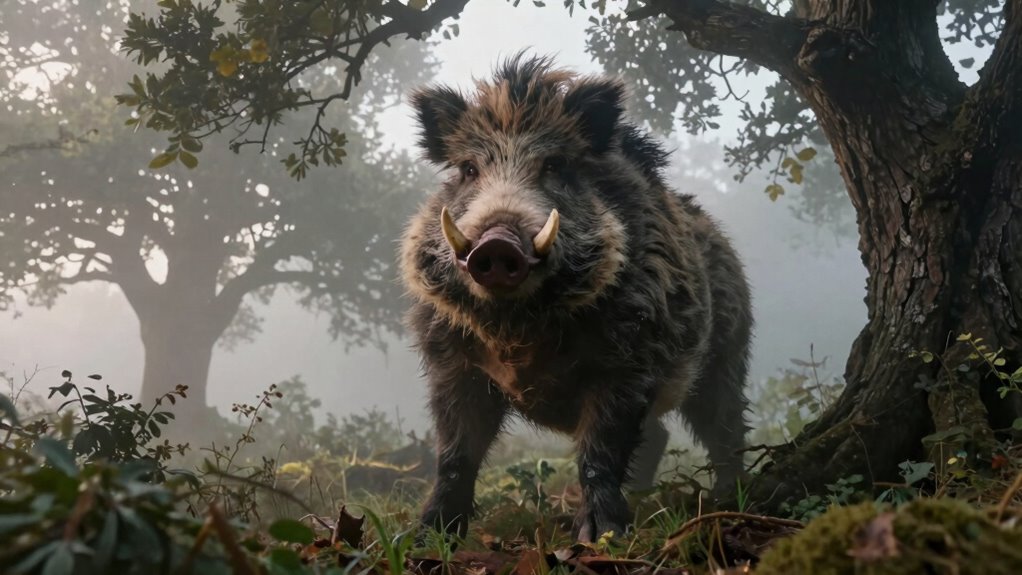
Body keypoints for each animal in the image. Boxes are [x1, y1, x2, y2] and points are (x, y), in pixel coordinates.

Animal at [398, 53, 753, 543]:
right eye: (469, 170)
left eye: (555, 166)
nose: (497, 242)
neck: (517, 328)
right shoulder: (451, 362)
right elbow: (455, 453)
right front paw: (426, 537)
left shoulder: (629, 362)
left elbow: (599, 450)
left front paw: (600, 536)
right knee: (661, 434)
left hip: (727, 353)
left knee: (725, 426)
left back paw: (727, 499)